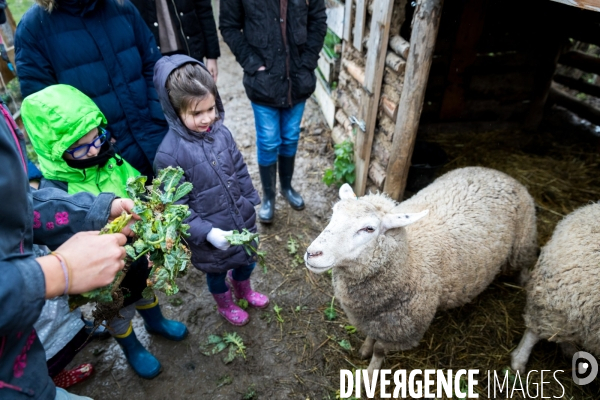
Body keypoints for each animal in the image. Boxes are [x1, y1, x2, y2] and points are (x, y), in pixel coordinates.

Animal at [308, 166, 536, 376]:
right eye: (334, 214)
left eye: (369, 229)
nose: (312, 253)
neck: (409, 261)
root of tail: (499, 173)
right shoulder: (376, 319)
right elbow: (371, 336)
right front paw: (365, 349)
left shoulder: (401, 329)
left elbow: (380, 350)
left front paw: (371, 374)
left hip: (523, 242)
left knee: (525, 263)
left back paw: (526, 282)